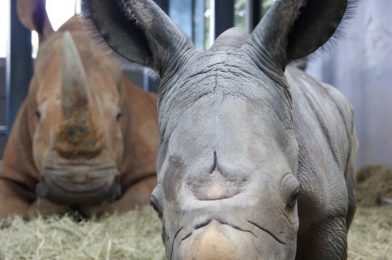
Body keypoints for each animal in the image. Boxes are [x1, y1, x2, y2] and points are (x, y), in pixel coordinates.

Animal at [0, 0, 159, 218]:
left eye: (119, 116)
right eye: (37, 114)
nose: (80, 186)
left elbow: (129, 201)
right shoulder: (11, 170)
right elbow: (8, 207)